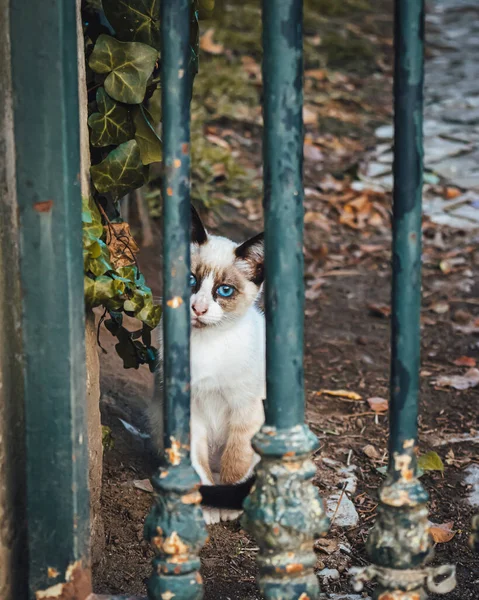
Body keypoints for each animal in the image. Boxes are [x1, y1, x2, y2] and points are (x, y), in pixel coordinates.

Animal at [150, 207, 266, 524]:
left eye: (224, 291)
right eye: (190, 280)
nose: (198, 309)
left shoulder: (245, 411)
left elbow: (234, 465)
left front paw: (223, 507)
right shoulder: (189, 413)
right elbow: (198, 466)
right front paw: (204, 507)